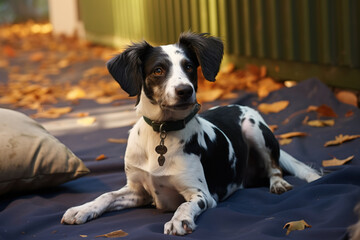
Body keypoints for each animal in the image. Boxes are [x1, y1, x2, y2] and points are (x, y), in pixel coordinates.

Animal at [61, 31, 320, 234]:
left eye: (189, 67)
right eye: (158, 70)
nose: (185, 90)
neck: (162, 132)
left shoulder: (201, 194)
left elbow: (184, 205)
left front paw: (179, 221)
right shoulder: (137, 191)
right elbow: (106, 196)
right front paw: (83, 209)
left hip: (254, 128)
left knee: (274, 167)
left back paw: (277, 183)